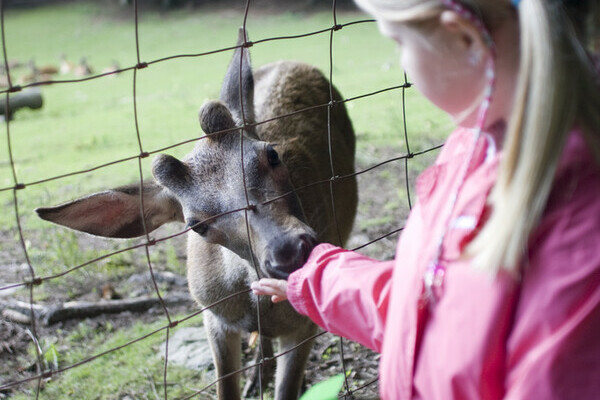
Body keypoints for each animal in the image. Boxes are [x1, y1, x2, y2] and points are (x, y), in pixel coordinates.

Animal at [36, 28, 356, 400]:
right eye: (196, 224)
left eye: (271, 154)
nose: (289, 252)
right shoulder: (212, 316)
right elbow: (225, 387)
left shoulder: (305, 325)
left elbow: (287, 388)